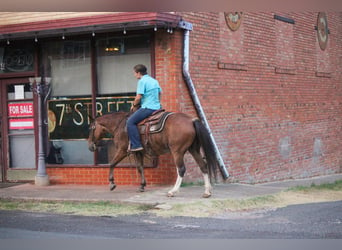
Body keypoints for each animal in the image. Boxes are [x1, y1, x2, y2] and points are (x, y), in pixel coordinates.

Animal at [87, 110, 218, 198]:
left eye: (91, 128)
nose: (90, 145)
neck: (120, 125)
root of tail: (191, 120)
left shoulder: (122, 150)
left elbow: (112, 164)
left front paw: (112, 183)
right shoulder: (138, 152)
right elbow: (140, 168)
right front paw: (142, 186)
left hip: (177, 151)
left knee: (181, 169)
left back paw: (173, 191)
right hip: (193, 149)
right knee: (203, 166)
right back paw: (207, 191)